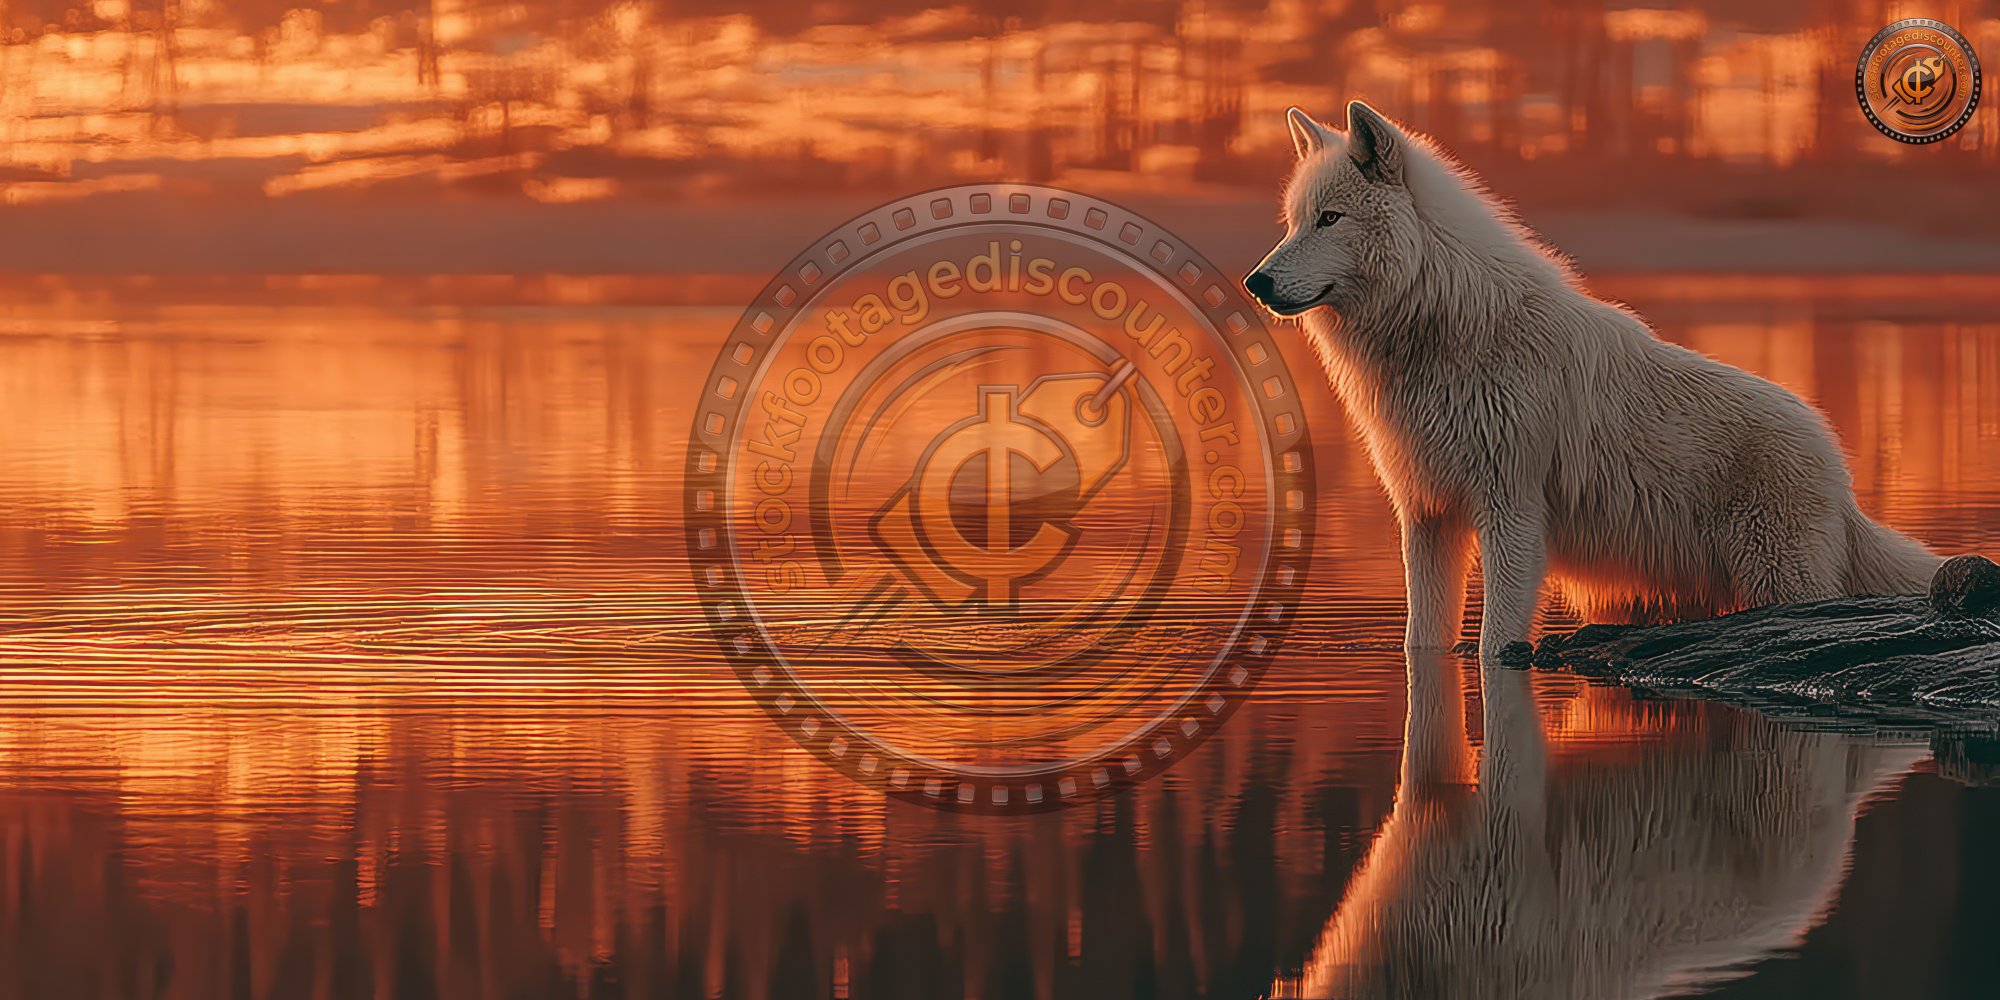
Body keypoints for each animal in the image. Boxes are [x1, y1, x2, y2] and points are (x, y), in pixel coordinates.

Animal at [1244, 101, 1940, 663]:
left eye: (1330, 219)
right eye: (1293, 222)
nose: (1256, 282)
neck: (1442, 322)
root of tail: (1840, 476)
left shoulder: (1512, 510)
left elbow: (1496, 641)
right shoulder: (1428, 516)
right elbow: (1424, 638)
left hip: (1778, 579)